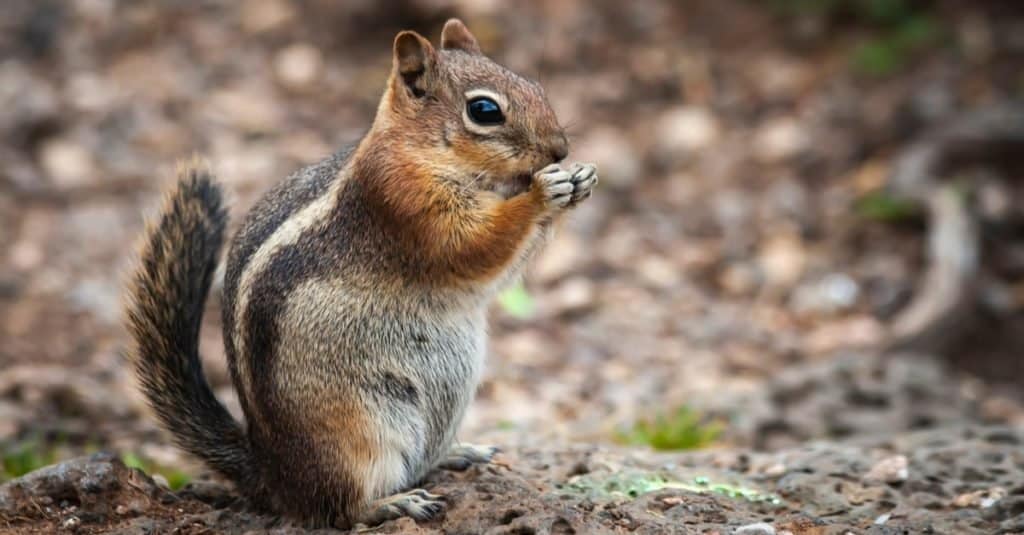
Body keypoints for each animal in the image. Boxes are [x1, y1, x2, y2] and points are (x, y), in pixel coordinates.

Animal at [123, 18, 598, 524]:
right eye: (485, 110)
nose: (560, 149)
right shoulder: (404, 201)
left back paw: (458, 453)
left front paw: (579, 180)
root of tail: (273, 475)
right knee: (339, 508)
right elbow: (475, 246)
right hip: (358, 434)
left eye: (536, 87)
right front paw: (543, 194)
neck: (416, 148)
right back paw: (392, 502)